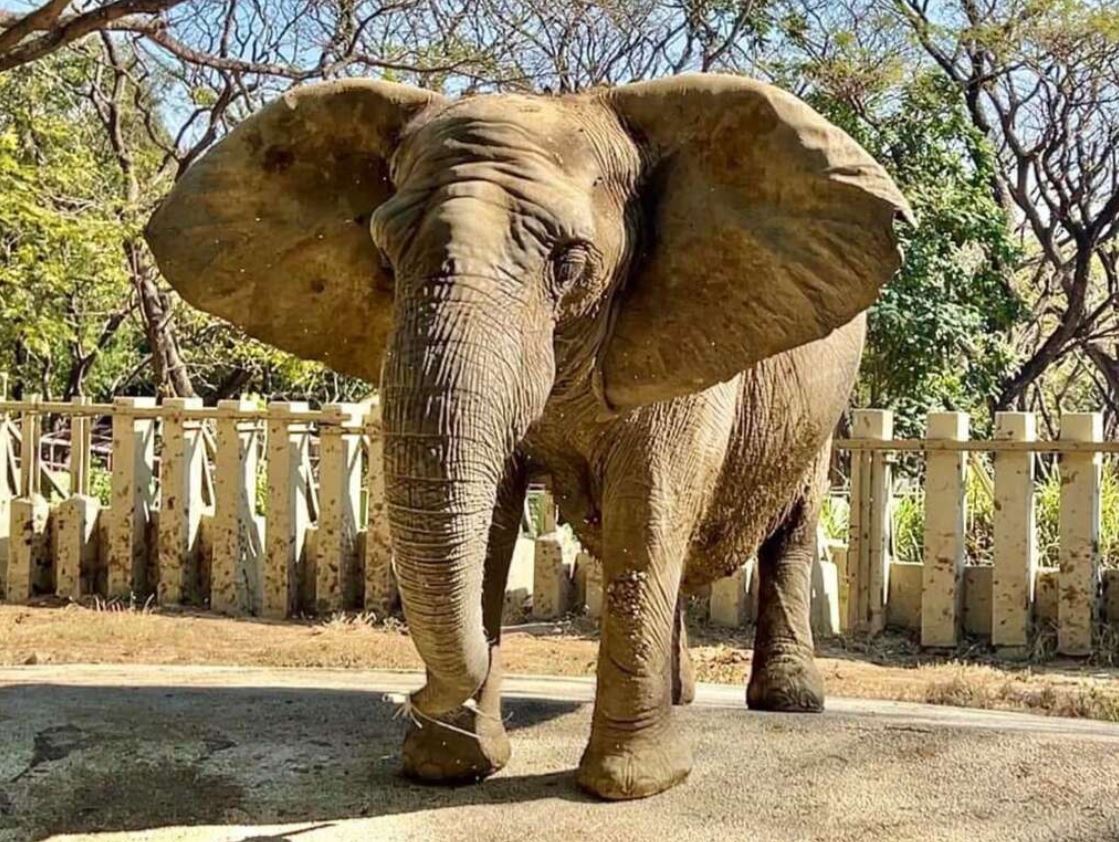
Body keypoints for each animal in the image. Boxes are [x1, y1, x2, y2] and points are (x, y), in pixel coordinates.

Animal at [144, 72, 911, 800]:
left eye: (569, 263)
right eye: (385, 257)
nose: (409, 696)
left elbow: (647, 507)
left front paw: (628, 787)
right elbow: (491, 524)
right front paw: (451, 766)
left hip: (826, 404)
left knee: (789, 526)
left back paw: (788, 703)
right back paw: (680, 696)